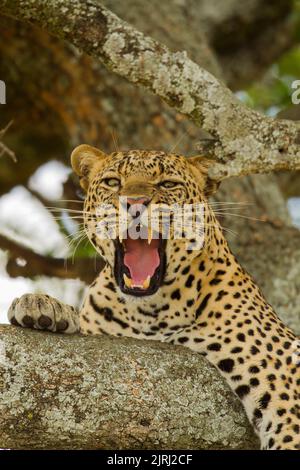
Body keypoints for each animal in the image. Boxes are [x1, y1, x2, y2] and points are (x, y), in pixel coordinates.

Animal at [7, 145, 300, 450]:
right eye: (112, 182)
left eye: (167, 184)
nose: (135, 203)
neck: (148, 311)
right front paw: (42, 307)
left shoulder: (285, 376)